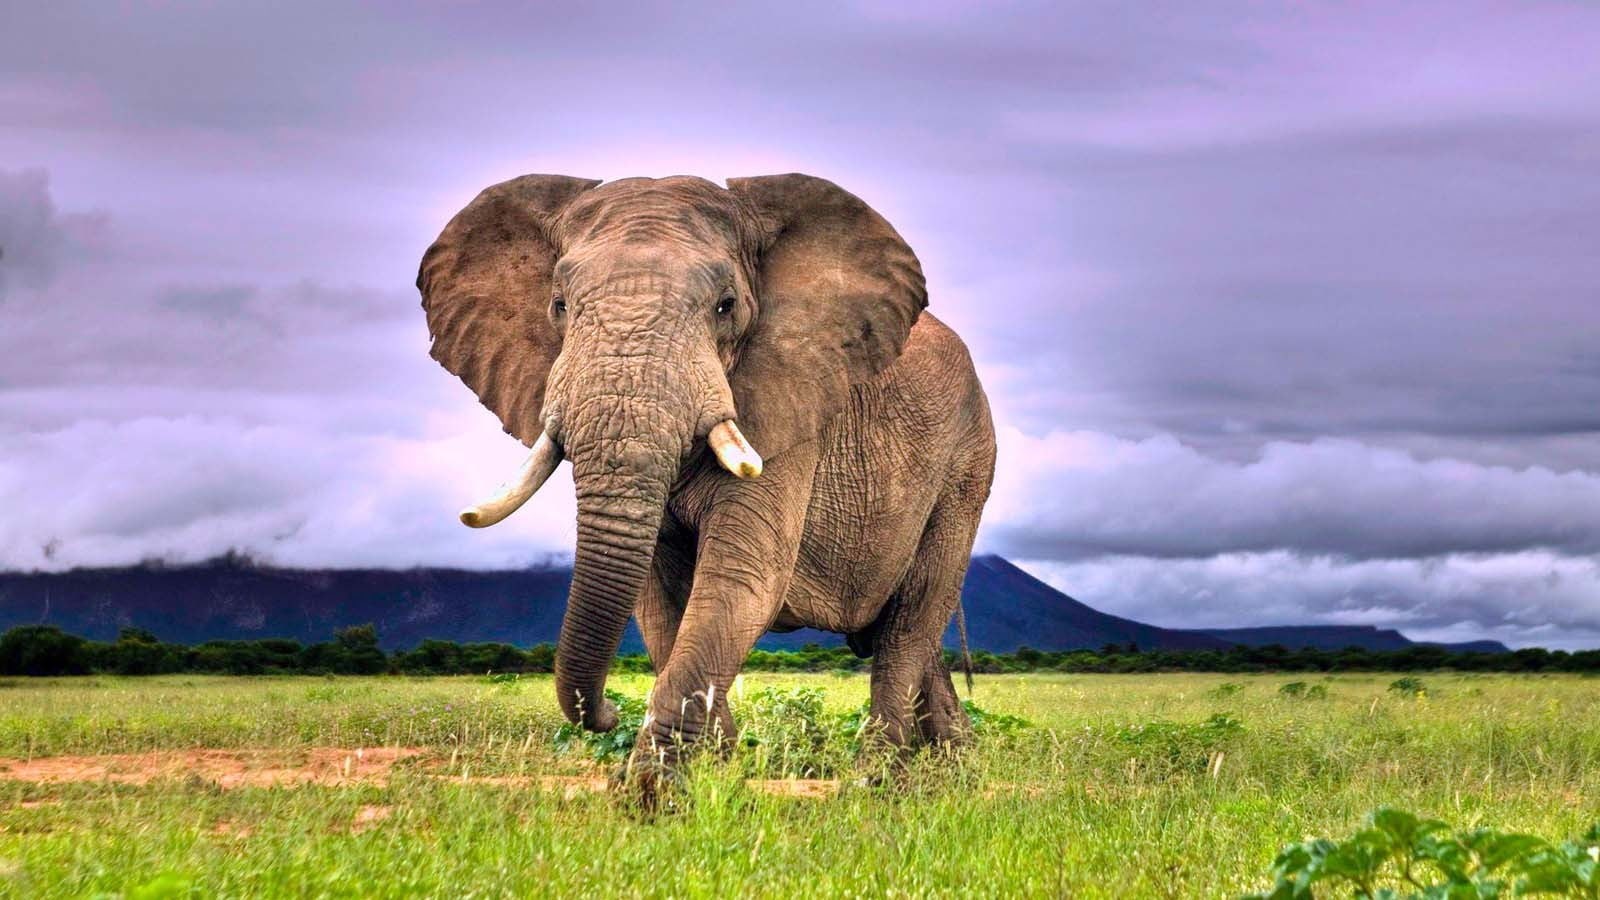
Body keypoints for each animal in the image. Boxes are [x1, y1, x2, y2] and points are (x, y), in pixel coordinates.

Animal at [417, 172, 995, 787]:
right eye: (559, 305)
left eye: (726, 306)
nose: (607, 711)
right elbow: (657, 598)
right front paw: (716, 769)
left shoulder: (789, 407)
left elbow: (741, 578)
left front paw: (653, 793)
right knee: (909, 632)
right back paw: (954, 763)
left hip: (967, 465)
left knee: (912, 618)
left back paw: (877, 782)